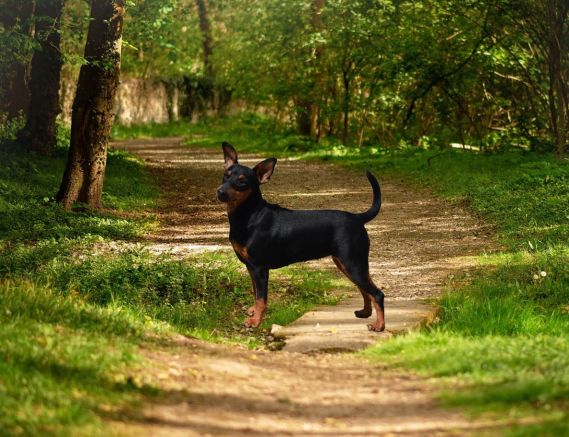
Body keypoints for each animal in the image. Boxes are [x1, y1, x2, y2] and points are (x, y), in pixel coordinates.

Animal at [217, 143, 386, 330]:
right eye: (226, 175)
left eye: (242, 181)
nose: (220, 192)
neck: (250, 214)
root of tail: (357, 218)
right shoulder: (250, 267)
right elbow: (255, 294)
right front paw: (254, 313)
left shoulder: (260, 268)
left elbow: (262, 298)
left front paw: (255, 322)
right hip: (349, 263)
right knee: (365, 290)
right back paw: (365, 313)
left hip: (352, 263)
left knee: (377, 293)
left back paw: (379, 326)